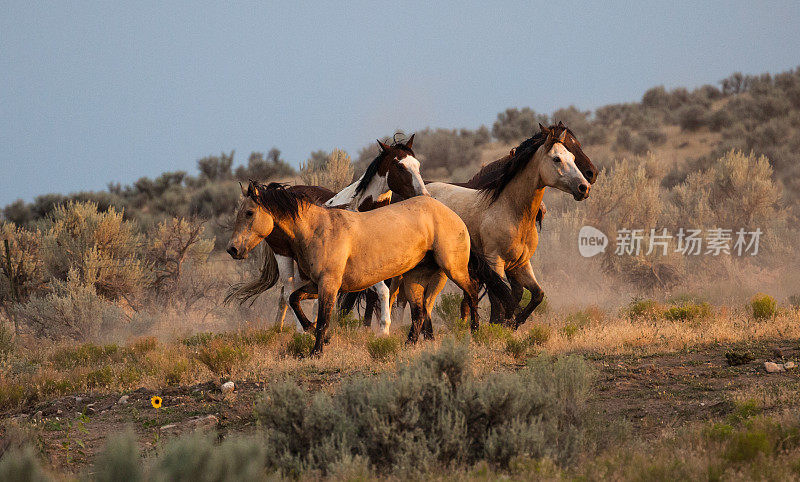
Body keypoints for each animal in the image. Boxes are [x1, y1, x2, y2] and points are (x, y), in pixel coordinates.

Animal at [225, 181, 512, 354]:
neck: (318, 229)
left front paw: (317, 350)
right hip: (415, 279)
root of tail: (454, 216)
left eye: (249, 213)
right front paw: (313, 333)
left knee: (471, 290)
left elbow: (323, 318)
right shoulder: (319, 285)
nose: (233, 249)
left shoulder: (329, 285)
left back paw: (474, 330)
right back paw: (408, 344)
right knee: (420, 312)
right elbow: (296, 300)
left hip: (453, 268)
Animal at [424, 122, 592, 330]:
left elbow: (536, 295)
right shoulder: (494, 262)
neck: (510, 210)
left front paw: (513, 324)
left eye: (573, 157)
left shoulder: (520, 264)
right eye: (557, 158)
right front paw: (497, 326)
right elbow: (500, 300)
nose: (584, 187)